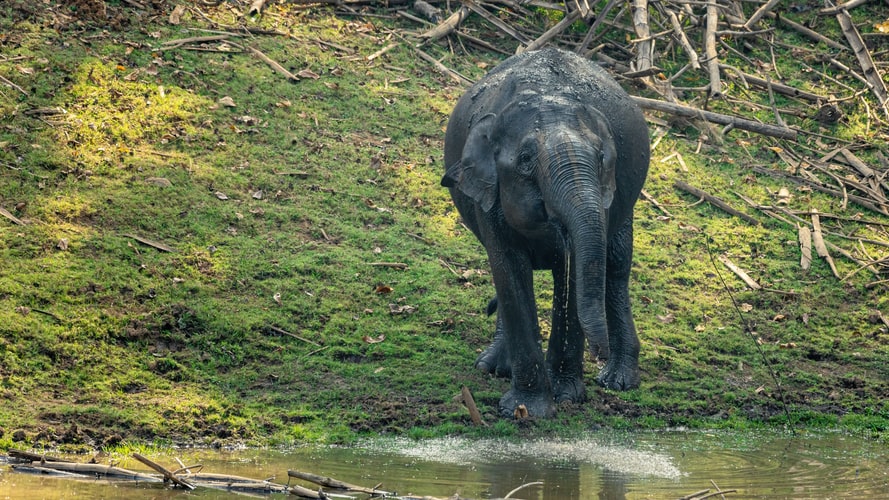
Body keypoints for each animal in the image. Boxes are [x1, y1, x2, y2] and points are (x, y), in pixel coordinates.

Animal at [440, 47, 648, 418]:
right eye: (525, 159)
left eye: (601, 158)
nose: (598, 352)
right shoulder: (489, 199)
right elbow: (509, 272)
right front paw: (526, 409)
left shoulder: (606, 198)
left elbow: (577, 271)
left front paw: (565, 396)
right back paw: (493, 367)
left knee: (616, 267)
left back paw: (618, 380)